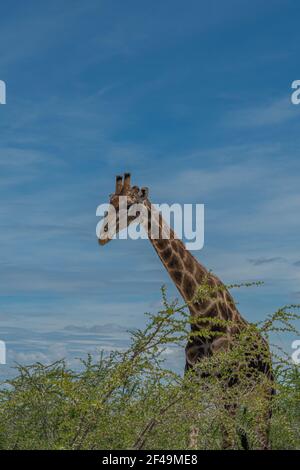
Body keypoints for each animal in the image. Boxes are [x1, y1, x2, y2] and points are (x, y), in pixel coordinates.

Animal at [98, 172, 274, 448]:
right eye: (110, 202)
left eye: (130, 205)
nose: (102, 236)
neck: (202, 311)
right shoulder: (193, 380)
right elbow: (193, 436)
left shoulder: (229, 384)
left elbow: (226, 441)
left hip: (263, 394)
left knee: (263, 437)